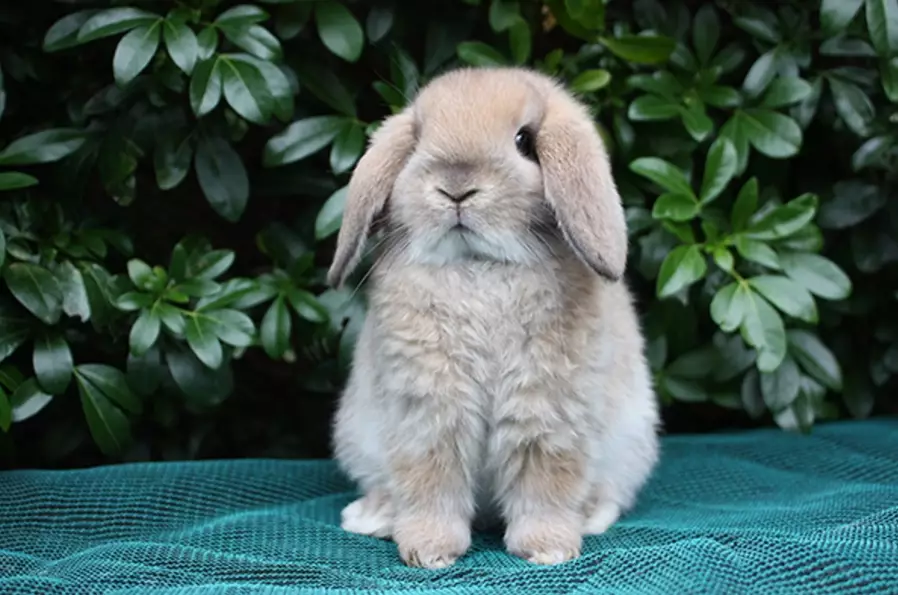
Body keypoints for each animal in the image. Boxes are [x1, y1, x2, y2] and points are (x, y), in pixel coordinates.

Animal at [326, 66, 660, 569]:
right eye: (418, 139)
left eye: (524, 140)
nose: (456, 187)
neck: (479, 267)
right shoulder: (428, 412)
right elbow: (429, 480)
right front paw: (430, 552)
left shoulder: (546, 411)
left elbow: (545, 481)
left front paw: (547, 549)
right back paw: (373, 517)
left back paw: (589, 517)